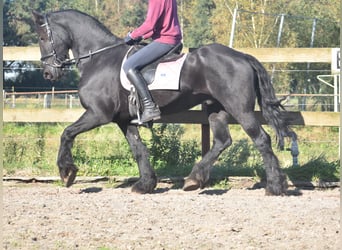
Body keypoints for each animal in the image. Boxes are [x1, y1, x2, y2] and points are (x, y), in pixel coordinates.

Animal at [32, 9, 296, 195]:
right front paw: (145, 184)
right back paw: (194, 179)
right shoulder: (123, 120)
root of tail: (242, 56)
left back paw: (275, 187)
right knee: (223, 141)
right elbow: (139, 149)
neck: (99, 58)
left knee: (261, 139)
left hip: (239, 108)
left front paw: (67, 172)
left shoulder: (98, 114)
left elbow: (67, 133)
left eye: (43, 36)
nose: (48, 73)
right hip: (216, 108)